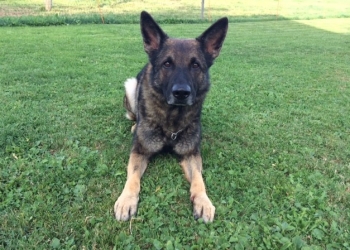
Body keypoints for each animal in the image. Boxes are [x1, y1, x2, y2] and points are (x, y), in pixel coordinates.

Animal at [115, 11, 228, 223]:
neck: (172, 120)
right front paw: (126, 199)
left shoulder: (191, 154)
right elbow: (132, 178)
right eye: (167, 64)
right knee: (134, 115)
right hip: (130, 85)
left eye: (195, 65)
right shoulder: (139, 151)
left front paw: (203, 201)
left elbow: (199, 179)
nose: (181, 93)